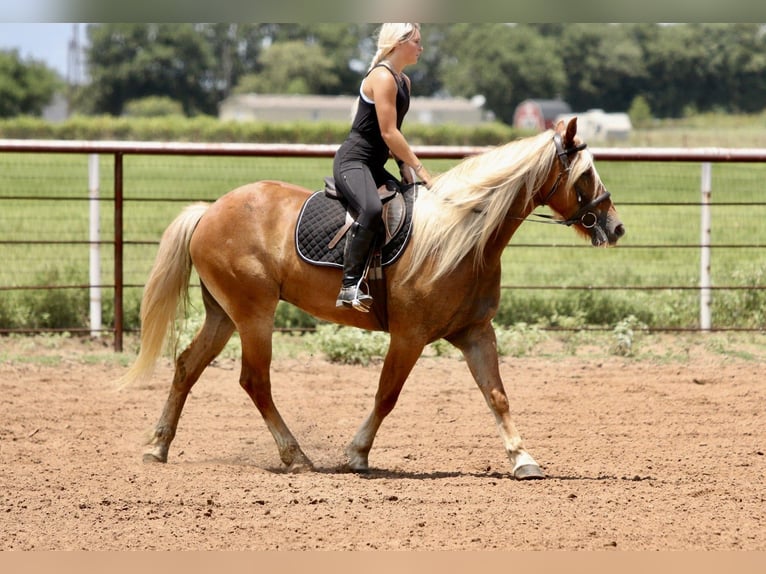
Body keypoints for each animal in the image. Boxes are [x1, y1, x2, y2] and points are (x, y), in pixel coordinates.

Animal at [122, 117, 625, 480]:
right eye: (585, 175)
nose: (615, 226)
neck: (462, 234)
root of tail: (209, 211)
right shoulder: (409, 336)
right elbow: (387, 395)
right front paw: (357, 454)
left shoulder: (476, 333)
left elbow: (497, 396)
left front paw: (523, 460)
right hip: (253, 314)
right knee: (255, 381)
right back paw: (296, 456)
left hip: (224, 315)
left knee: (187, 366)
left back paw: (156, 447)